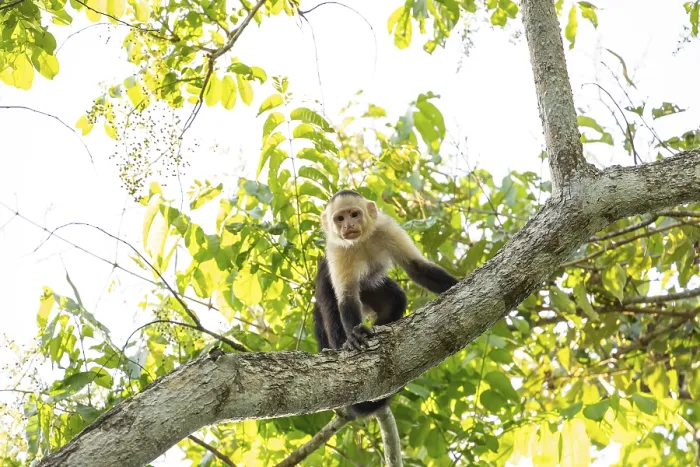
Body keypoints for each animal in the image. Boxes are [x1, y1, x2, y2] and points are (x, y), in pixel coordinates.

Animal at [312, 189, 460, 417]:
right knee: (331, 307)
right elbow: (346, 297)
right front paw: (355, 335)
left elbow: (417, 268)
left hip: (371, 288)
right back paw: (341, 344)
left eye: (354, 214)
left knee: (395, 299)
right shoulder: (337, 248)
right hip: (323, 281)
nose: (348, 225)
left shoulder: (386, 228)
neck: (361, 241)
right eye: (339, 218)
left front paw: (456, 284)